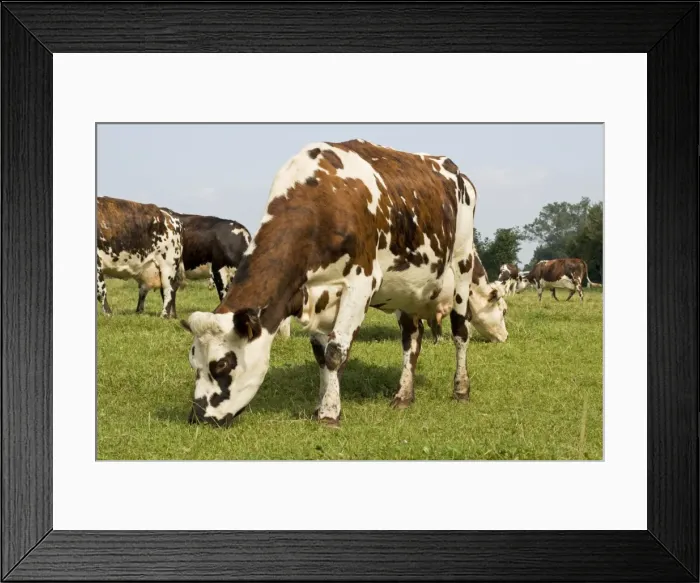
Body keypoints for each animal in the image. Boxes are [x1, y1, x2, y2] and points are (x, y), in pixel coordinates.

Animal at [180, 139, 507, 428]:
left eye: (222, 365)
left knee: (460, 333)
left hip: (462, 266)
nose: (199, 417)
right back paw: (403, 394)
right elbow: (322, 355)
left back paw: (461, 389)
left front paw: (329, 414)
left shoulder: (361, 282)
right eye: (194, 362)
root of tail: (454, 169)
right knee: (411, 339)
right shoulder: (316, 293)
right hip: (406, 289)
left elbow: (336, 353)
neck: (323, 201)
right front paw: (322, 404)